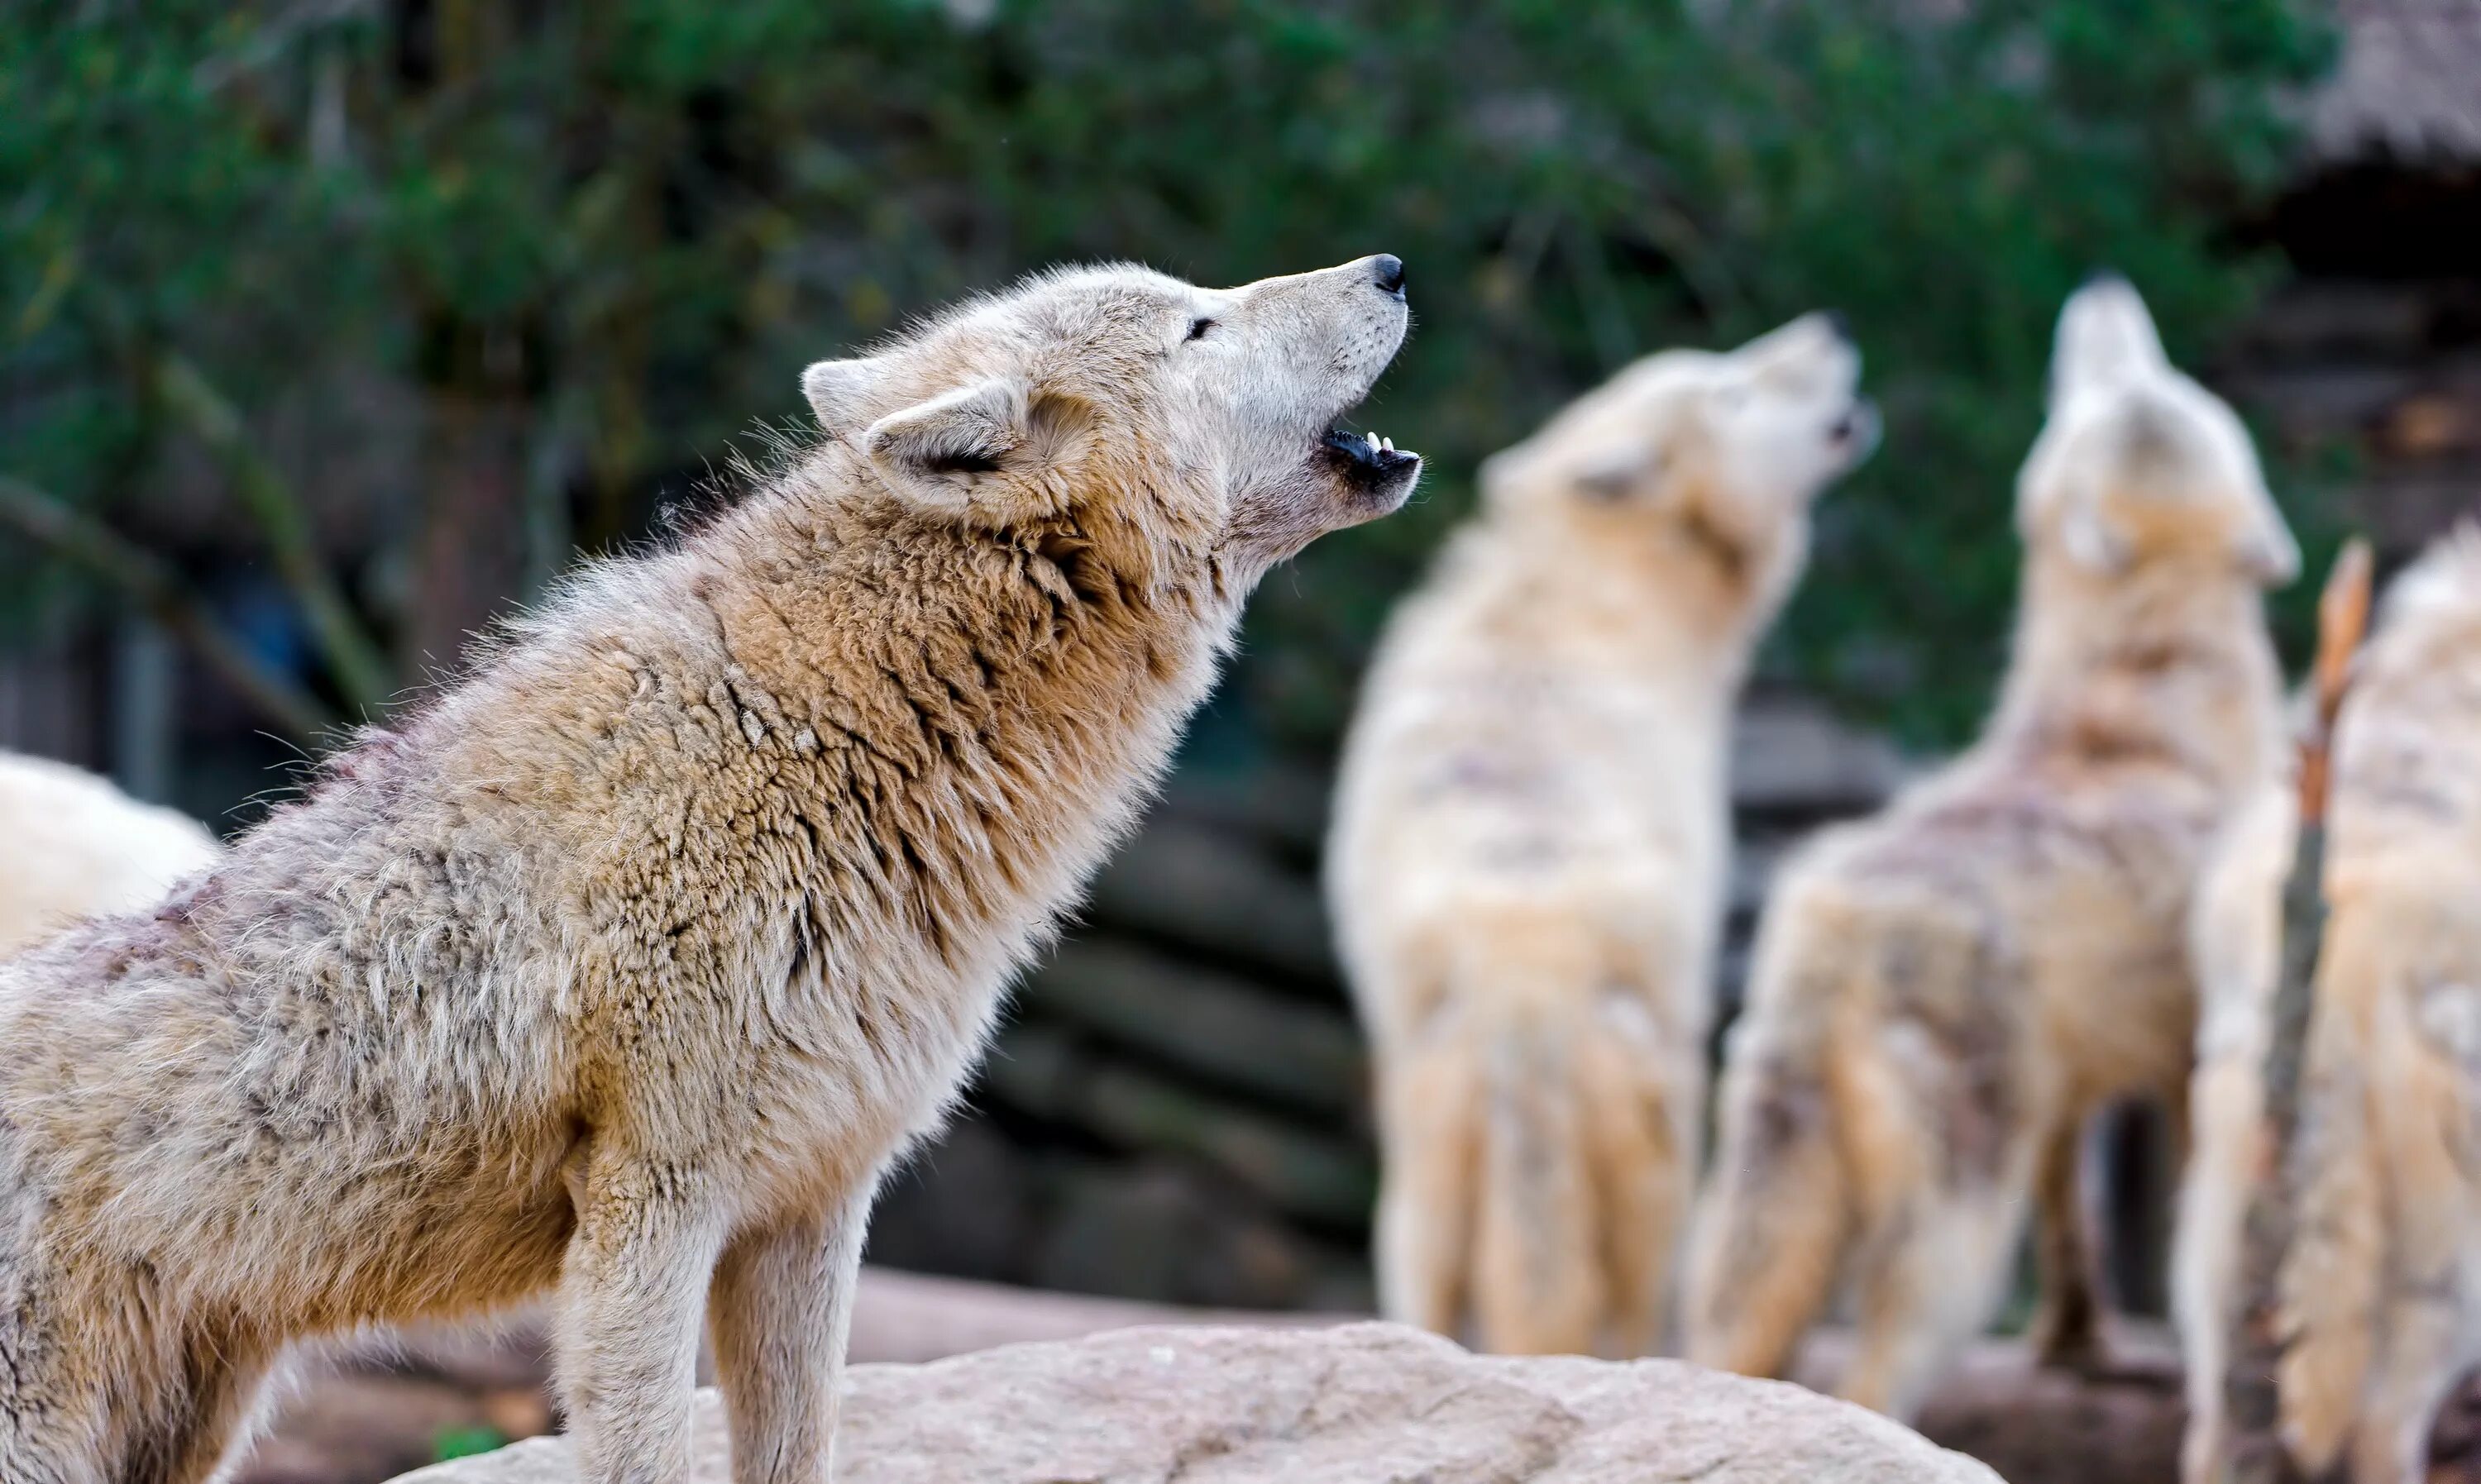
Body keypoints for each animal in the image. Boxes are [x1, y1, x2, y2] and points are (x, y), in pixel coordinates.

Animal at [0, 259, 1419, 1484]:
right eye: (1199, 325)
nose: (1393, 267)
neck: (819, 740)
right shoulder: (651, 1206)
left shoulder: (814, 1204)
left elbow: (800, 1447)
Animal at [1330, 316, 1866, 1359]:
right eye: (1733, 389)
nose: (1830, 329)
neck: (1589, 585)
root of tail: (1524, 993)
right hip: (1662, 1144)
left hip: (1419, 1184)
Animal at [1677, 273, 2292, 1429]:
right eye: (2113, 391)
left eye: (2146, 382)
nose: (2102, 285)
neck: (2138, 714)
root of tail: (1830, 930)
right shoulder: (2184, 1063)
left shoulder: (2073, 1094)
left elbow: (2077, 1243)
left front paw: (2078, 1350)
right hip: (1953, 1244)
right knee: (1875, 1378)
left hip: (1770, 1215)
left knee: (1726, 1349)